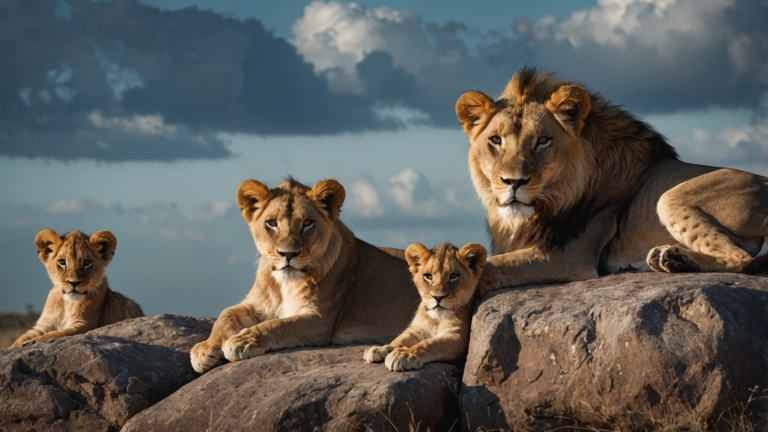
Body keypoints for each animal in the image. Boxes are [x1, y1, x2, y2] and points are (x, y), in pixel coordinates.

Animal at [10, 229, 143, 348]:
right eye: (62, 262)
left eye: (87, 262)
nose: (74, 283)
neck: (66, 303)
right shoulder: (42, 326)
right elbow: (20, 339)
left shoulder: (84, 326)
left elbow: (54, 335)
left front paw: (32, 342)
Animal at [190, 178, 419, 374]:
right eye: (272, 223)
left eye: (307, 223)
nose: (288, 254)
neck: (283, 284)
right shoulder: (256, 305)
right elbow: (225, 314)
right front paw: (204, 350)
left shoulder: (319, 319)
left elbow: (278, 325)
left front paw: (242, 341)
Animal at [364, 241, 487, 371]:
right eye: (428, 276)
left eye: (454, 276)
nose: (437, 297)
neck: (436, 319)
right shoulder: (417, 329)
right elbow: (400, 338)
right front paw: (380, 349)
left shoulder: (459, 338)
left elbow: (430, 343)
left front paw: (405, 354)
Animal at [455, 67, 768, 290]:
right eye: (496, 140)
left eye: (542, 141)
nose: (514, 182)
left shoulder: (569, 256)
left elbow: (488, 268)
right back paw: (671, 260)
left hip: (669, 197)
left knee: (743, 259)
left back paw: (674, 259)